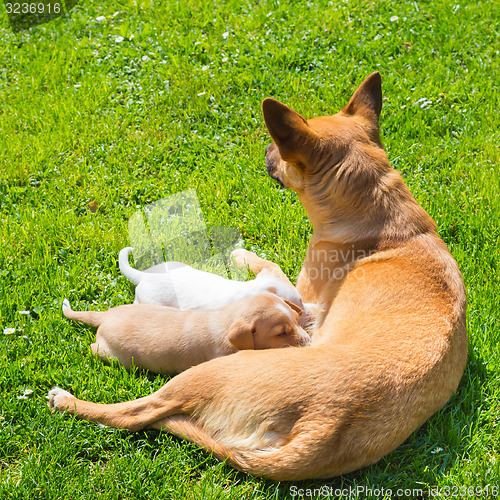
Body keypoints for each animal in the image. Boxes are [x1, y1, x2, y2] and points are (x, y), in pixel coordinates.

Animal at [60, 292, 306, 376]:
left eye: (296, 321)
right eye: (281, 333)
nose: (307, 341)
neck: (228, 318)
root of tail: (106, 315)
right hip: (112, 354)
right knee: (94, 348)